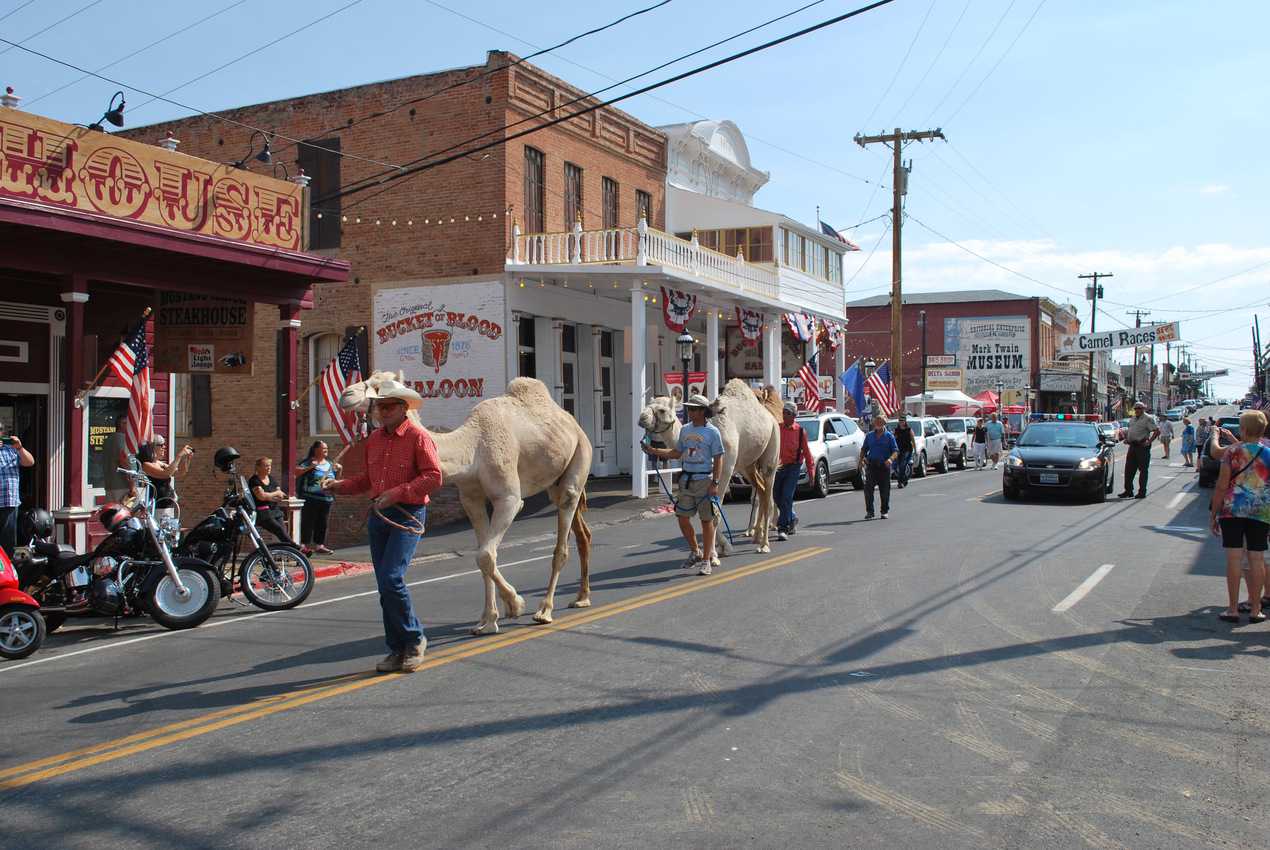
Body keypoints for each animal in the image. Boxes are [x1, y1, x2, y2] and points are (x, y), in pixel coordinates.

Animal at [337, 368, 594, 632]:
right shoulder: (472, 500)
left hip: (580, 458)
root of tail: (573, 423)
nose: (346, 395)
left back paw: (545, 611)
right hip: (555, 481)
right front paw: (488, 621)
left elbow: (485, 555)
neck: (471, 450)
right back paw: (581, 597)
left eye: (378, 388)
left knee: (562, 541)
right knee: (581, 532)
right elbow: (484, 557)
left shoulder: (509, 499)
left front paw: (515, 605)